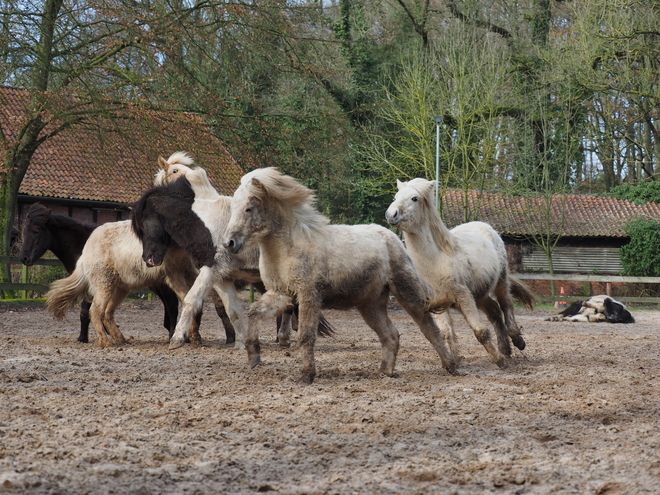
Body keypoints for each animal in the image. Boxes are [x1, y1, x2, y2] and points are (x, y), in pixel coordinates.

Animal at [222, 169, 458, 386]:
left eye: (248, 208)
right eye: (233, 208)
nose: (229, 243)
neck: (289, 247)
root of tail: (392, 237)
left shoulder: (309, 295)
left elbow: (306, 335)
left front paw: (306, 375)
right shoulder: (282, 294)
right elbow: (253, 312)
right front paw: (254, 357)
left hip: (405, 292)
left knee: (428, 327)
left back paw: (452, 366)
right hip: (370, 305)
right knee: (390, 334)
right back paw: (385, 372)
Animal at [384, 178, 532, 364]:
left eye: (414, 198)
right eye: (395, 196)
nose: (391, 214)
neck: (435, 259)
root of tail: (486, 227)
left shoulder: (463, 295)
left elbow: (480, 332)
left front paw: (500, 362)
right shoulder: (439, 302)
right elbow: (446, 333)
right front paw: (453, 360)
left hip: (500, 282)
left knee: (506, 305)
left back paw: (517, 341)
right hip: (480, 295)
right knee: (495, 312)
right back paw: (505, 350)